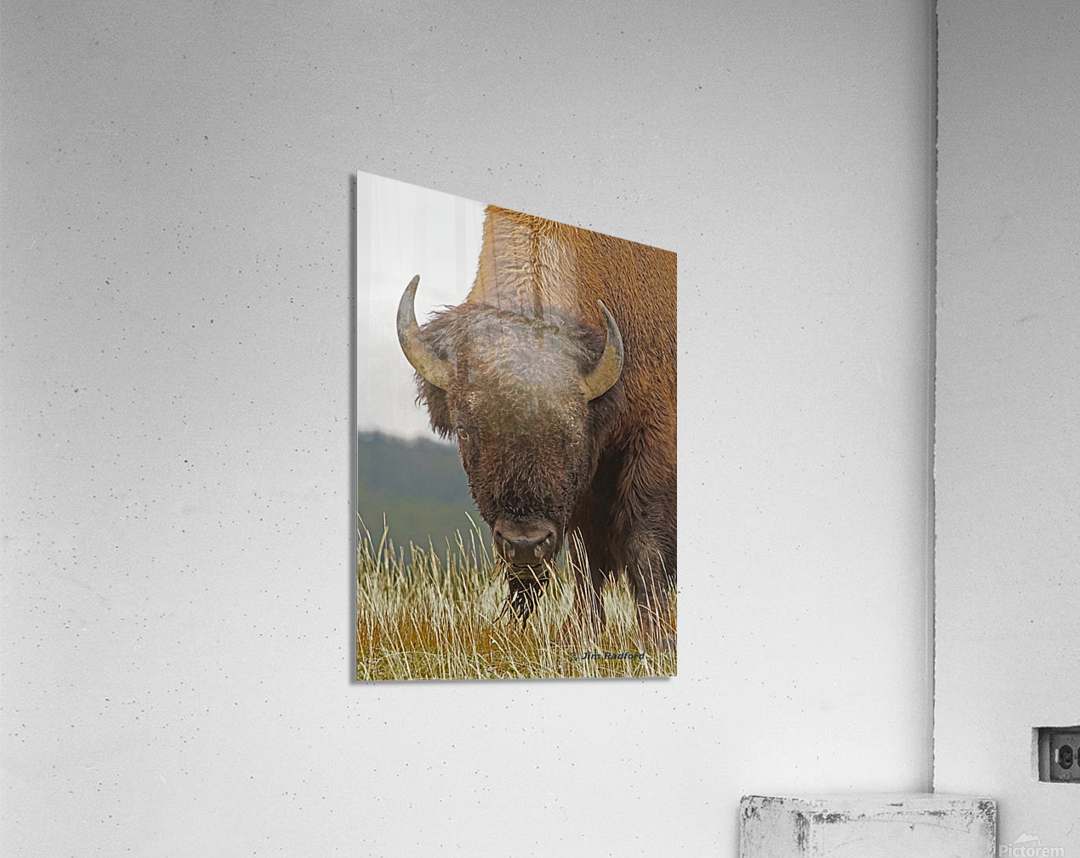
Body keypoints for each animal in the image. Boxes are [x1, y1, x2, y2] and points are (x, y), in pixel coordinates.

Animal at [396, 205, 676, 647]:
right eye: (466, 431)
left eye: (573, 435)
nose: (524, 544)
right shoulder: (581, 496)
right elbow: (584, 560)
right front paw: (581, 634)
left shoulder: (653, 440)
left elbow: (645, 546)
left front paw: (658, 639)